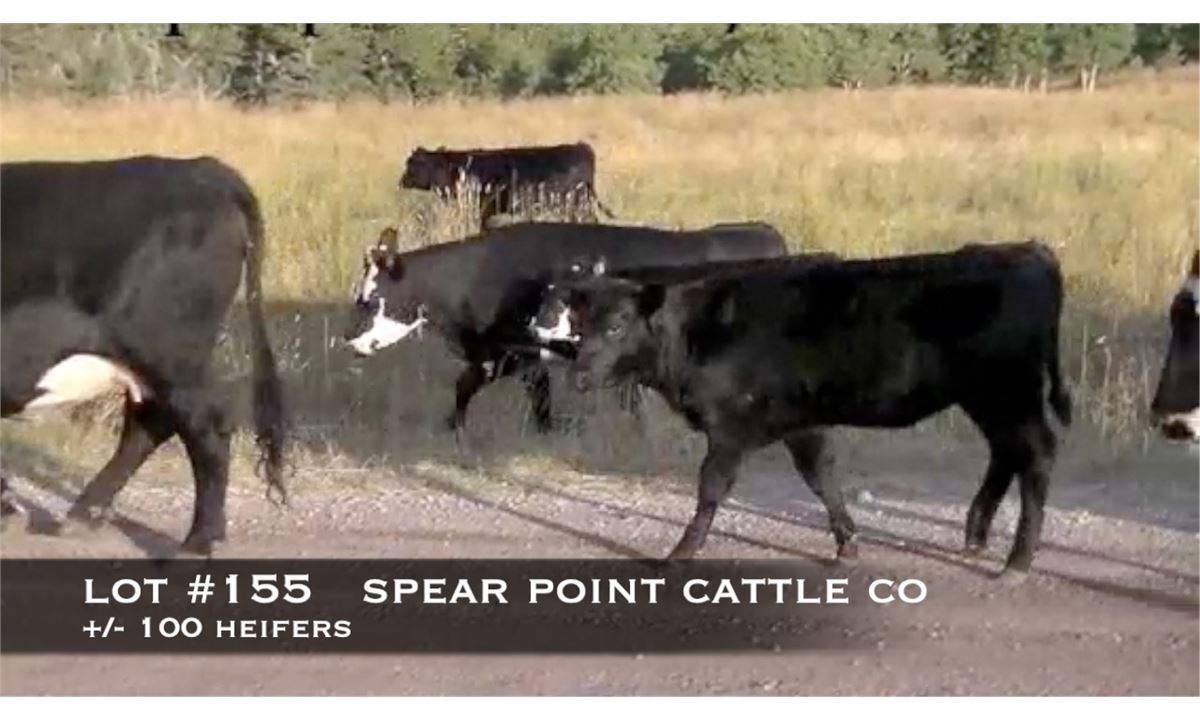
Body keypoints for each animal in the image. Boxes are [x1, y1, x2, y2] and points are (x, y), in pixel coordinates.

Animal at [0, 156, 288, 553]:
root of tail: (200, 167)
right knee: (150, 423)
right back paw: (82, 514)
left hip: (171, 355)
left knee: (206, 429)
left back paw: (198, 542)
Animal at [343, 221, 787, 445]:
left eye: (368, 299)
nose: (349, 342)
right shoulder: (499, 352)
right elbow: (467, 386)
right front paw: (453, 427)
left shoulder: (516, 352)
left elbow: (524, 396)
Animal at [542, 241, 1072, 575]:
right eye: (580, 326)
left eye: (618, 326)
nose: (579, 377)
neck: (698, 329)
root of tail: (1027, 250)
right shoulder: (801, 423)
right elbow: (822, 478)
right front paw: (847, 544)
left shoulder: (728, 429)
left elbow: (711, 489)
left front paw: (680, 552)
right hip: (988, 397)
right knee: (1007, 453)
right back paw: (977, 534)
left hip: (1010, 392)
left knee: (1036, 455)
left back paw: (1018, 561)